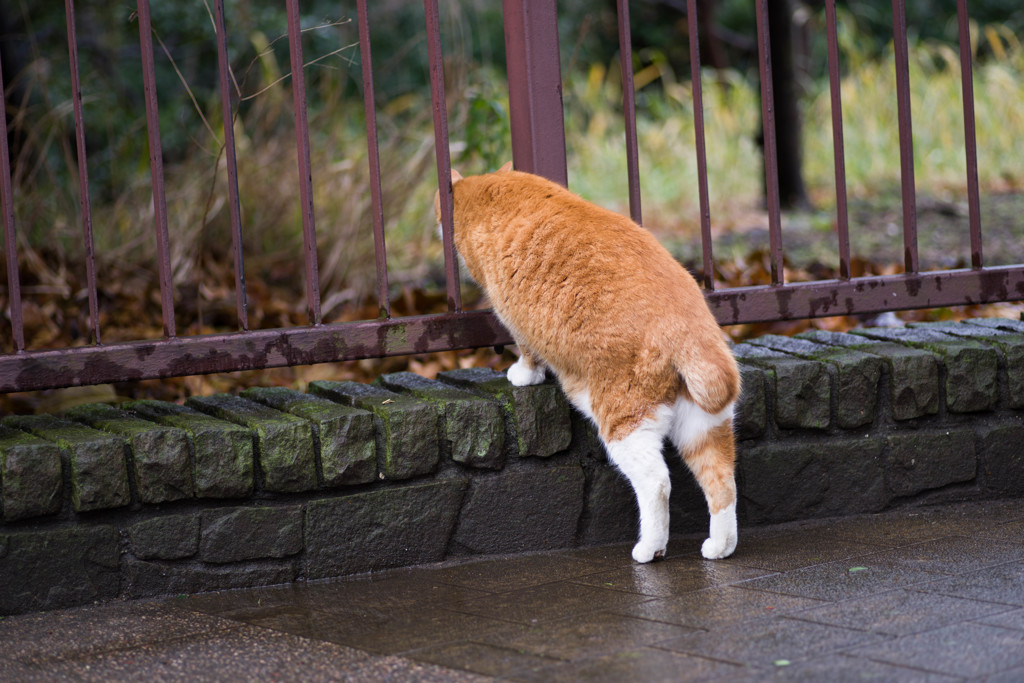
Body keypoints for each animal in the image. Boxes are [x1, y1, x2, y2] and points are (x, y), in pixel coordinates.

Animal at [436, 162, 741, 565]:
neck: (490, 187)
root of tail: (689, 329)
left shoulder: (511, 312)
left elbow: (526, 350)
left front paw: (523, 375)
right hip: (703, 425)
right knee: (722, 481)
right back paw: (720, 546)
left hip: (624, 420)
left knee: (657, 482)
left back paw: (650, 548)